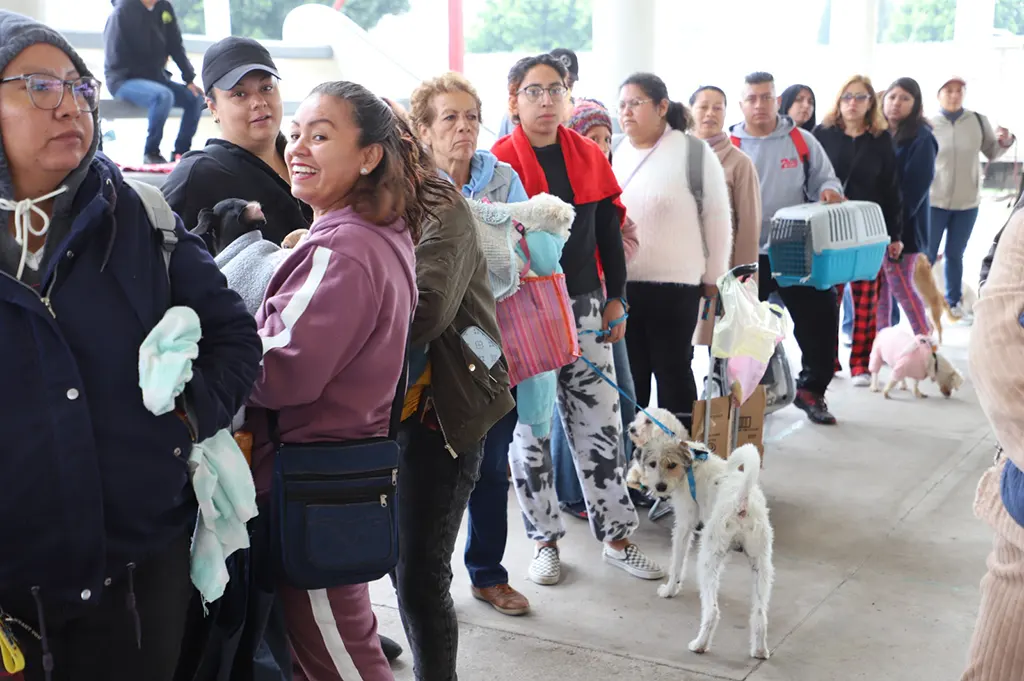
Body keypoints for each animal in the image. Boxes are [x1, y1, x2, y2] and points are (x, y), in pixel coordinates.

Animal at [630, 409, 774, 659]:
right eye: (652, 463)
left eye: (670, 464)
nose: (659, 488)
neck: (690, 464)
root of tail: (742, 501)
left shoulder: (684, 525)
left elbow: (677, 562)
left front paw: (670, 589)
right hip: (762, 566)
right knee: (759, 615)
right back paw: (759, 649)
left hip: (708, 555)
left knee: (713, 612)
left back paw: (699, 644)